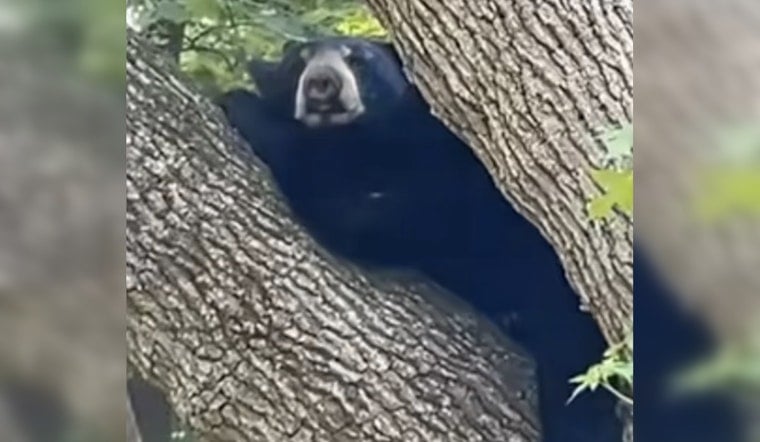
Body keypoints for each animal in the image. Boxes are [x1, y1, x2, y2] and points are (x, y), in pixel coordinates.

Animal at [219, 37, 618, 442]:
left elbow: (361, 213)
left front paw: (244, 106)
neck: (358, 141)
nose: (322, 81)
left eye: (359, 60)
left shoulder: (440, 172)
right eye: (298, 63)